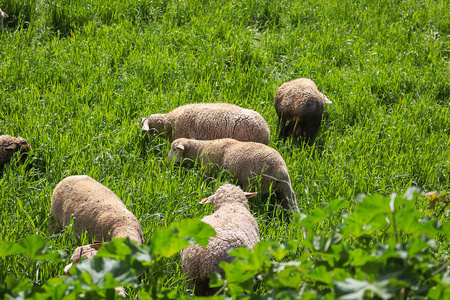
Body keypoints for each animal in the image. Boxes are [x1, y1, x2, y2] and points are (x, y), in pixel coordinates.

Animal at [167, 137, 300, 212]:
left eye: (174, 149)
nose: (167, 161)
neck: (200, 149)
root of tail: (280, 170)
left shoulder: (208, 169)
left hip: (255, 184)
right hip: (284, 189)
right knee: (291, 206)